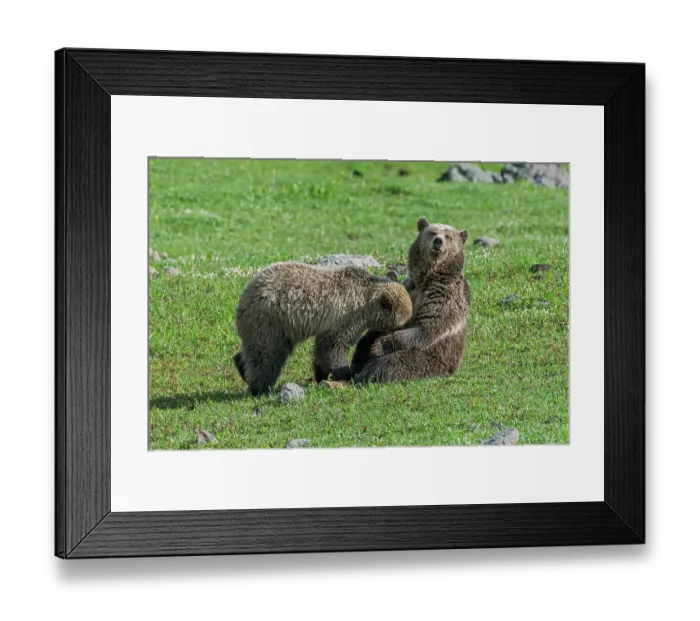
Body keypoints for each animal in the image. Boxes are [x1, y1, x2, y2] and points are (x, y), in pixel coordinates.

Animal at [234, 262, 413, 396]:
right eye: (400, 322)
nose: (399, 330)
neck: (367, 302)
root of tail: (245, 296)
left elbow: (322, 349)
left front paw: (320, 374)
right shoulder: (346, 315)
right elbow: (335, 345)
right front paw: (344, 373)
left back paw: (240, 365)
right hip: (271, 320)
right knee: (267, 355)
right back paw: (260, 387)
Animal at [351, 217, 471, 383]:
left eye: (448, 236)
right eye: (432, 232)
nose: (438, 241)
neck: (426, 279)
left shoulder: (444, 296)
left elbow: (426, 327)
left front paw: (379, 346)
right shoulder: (409, 289)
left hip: (431, 359)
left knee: (393, 363)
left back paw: (365, 374)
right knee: (364, 343)